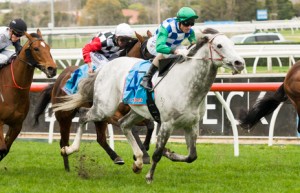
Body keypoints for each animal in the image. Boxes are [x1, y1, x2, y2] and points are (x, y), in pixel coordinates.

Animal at [0, 29, 57, 160]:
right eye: (36, 48)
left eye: (49, 47)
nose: (52, 69)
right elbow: (2, 148)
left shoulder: (17, 124)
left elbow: (5, 149)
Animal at [33, 30, 154, 171]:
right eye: (147, 51)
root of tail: (58, 80)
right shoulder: (113, 115)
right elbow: (132, 129)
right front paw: (142, 155)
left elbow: (150, 125)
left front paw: (144, 149)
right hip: (64, 116)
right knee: (64, 140)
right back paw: (67, 165)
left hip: (98, 118)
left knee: (100, 138)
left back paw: (116, 157)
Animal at [51, 27, 244, 183]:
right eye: (219, 45)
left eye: (233, 44)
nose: (239, 63)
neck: (186, 85)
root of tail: (103, 69)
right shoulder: (167, 123)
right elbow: (157, 153)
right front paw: (150, 176)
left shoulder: (192, 124)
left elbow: (192, 156)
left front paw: (168, 153)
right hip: (104, 108)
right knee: (83, 116)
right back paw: (69, 150)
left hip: (136, 111)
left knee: (123, 125)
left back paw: (136, 160)